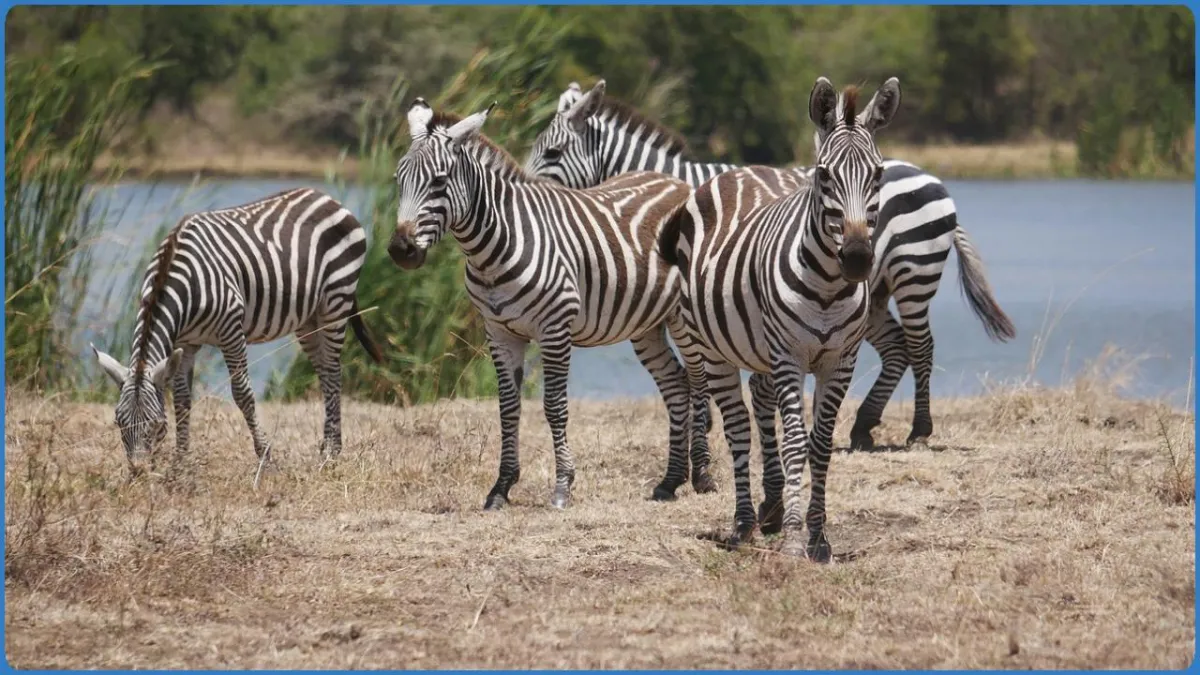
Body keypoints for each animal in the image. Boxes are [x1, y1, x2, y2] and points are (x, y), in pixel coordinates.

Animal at [92, 188, 383, 475]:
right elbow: (183, 399)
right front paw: (181, 462)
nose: (138, 472)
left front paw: (265, 459)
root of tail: (326, 197)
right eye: (118, 422)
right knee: (324, 372)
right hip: (309, 320)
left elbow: (242, 394)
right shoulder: (185, 342)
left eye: (155, 423)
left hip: (336, 301)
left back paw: (332, 454)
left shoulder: (230, 329)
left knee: (333, 372)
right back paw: (327, 447)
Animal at [386, 97, 701, 510]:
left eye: (439, 181)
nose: (400, 250)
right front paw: (501, 487)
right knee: (677, 385)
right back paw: (670, 481)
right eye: (398, 180)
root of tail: (678, 182)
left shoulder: (554, 329)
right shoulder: (499, 333)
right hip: (647, 324)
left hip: (684, 317)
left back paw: (704, 476)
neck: (494, 247)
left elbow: (554, 406)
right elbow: (508, 408)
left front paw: (563, 486)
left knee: (701, 382)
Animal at [525, 79, 1015, 469]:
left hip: (915, 272)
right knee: (897, 349)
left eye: (551, 151)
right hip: (872, 294)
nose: (524, 189)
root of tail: (930, 175)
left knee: (921, 345)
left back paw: (919, 429)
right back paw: (863, 427)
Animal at [658, 76, 919, 560]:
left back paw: (771, 508)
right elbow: (796, 441)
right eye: (824, 175)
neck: (828, 287)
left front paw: (818, 535)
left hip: (760, 350)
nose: (858, 258)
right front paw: (797, 537)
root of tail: (740, 170)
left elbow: (821, 444)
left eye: (878, 175)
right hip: (714, 349)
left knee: (760, 408)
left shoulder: (841, 360)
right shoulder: (790, 357)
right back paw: (743, 523)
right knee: (739, 427)